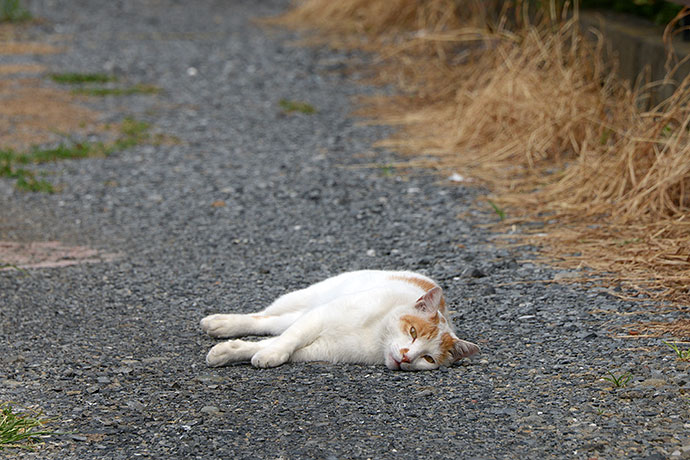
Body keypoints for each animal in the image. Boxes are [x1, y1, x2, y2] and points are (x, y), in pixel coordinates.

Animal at [199, 270, 478, 370]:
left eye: (428, 359)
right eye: (412, 332)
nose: (407, 357)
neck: (374, 336)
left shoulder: (323, 349)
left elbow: (272, 345)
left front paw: (231, 352)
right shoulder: (320, 316)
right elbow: (289, 339)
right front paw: (270, 354)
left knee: (272, 325)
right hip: (304, 300)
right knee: (264, 318)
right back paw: (220, 322)